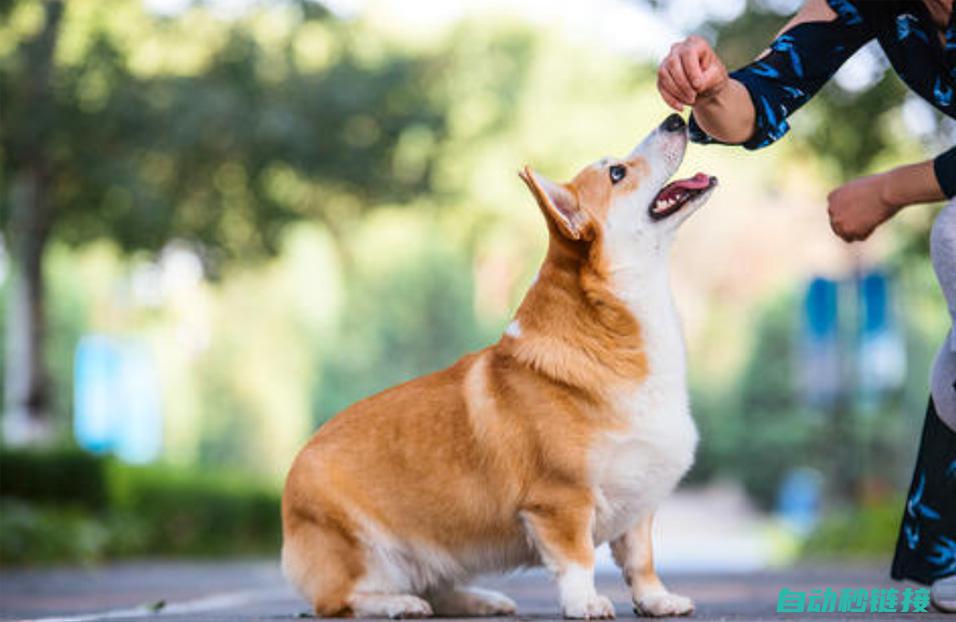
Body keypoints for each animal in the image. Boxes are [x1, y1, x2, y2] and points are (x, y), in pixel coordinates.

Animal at [284, 114, 716, 620]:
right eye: (616, 173)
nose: (675, 119)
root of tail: (290, 483)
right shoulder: (562, 503)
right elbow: (578, 561)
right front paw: (585, 603)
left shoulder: (640, 501)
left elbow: (641, 560)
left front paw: (657, 600)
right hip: (365, 551)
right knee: (339, 602)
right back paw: (398, 603)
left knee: (436, 589)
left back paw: (481, 599)